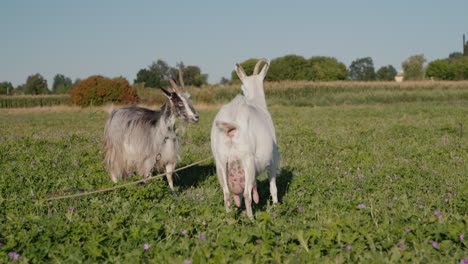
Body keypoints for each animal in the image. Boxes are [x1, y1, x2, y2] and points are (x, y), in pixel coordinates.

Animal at [103, 65, 198, 194]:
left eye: (189, 99)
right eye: (179, 102)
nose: (196, 117)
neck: (164, 132)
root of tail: (114, 112)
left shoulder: (169, 157)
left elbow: (169, 177)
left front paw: (174, 194)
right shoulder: (149, 159)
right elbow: (148, 178)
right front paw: (149, 191)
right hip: (117, 148)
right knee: (114, 167)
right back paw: (115, 186)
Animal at [211, 58, 278, 219]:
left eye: (242, 87)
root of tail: (231, 126)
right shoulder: (273, 159)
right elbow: (273, 187)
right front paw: (276, 206)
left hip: (221, 162)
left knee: (226, 194)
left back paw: (229, 218)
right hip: (247, 160)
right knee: (247, 194)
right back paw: (251, 219)